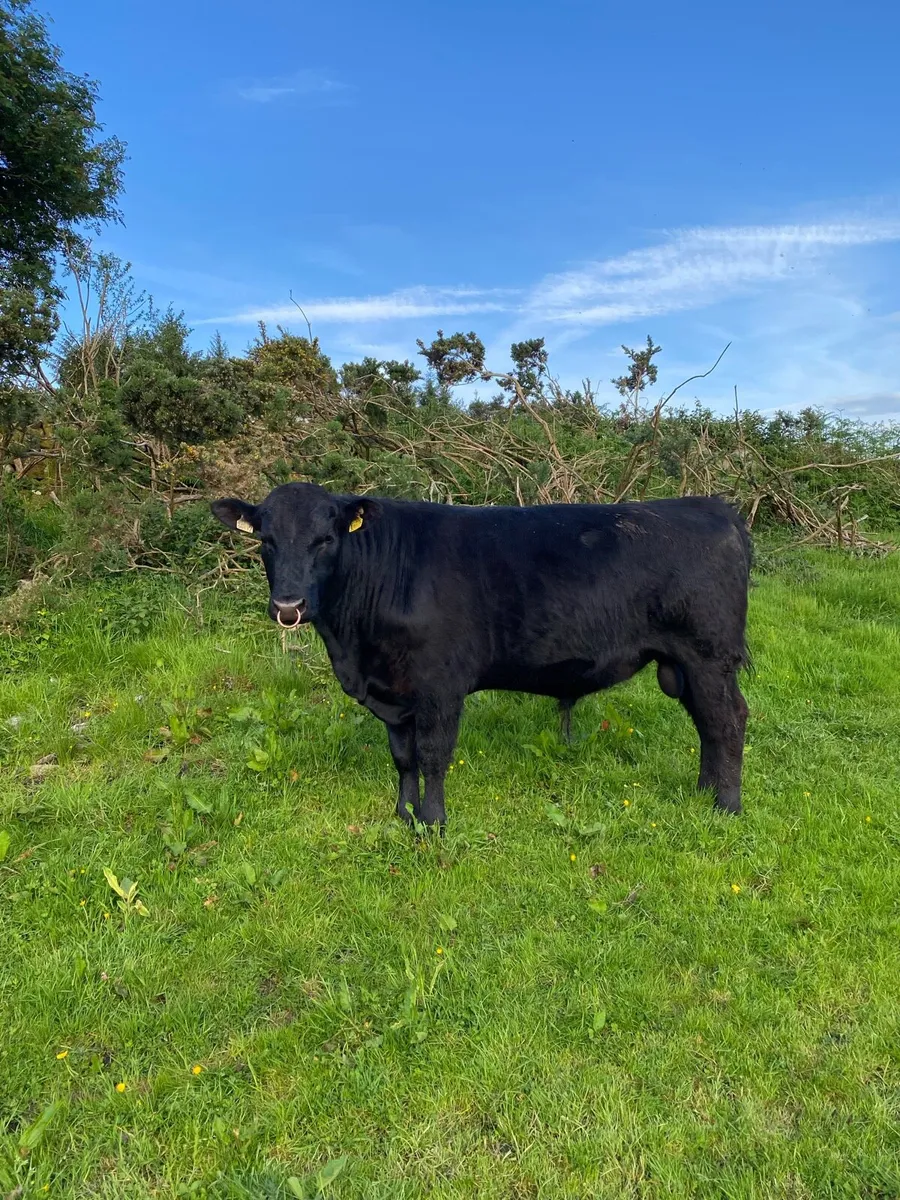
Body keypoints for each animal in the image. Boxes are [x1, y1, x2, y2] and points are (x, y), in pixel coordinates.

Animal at [211, 484, 751, 829]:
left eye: (325, 540)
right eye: (266, 541)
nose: (289, 606)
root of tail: (715, 509)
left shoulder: (440, 686)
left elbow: (432, 755)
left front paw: (433, 823)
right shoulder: (392, 691)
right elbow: (402, 758)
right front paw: (403, 816)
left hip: (708, 655)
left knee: (726, 721)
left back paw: (725, 806)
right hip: (684, 664)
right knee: (709, 724)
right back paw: (704, 791)